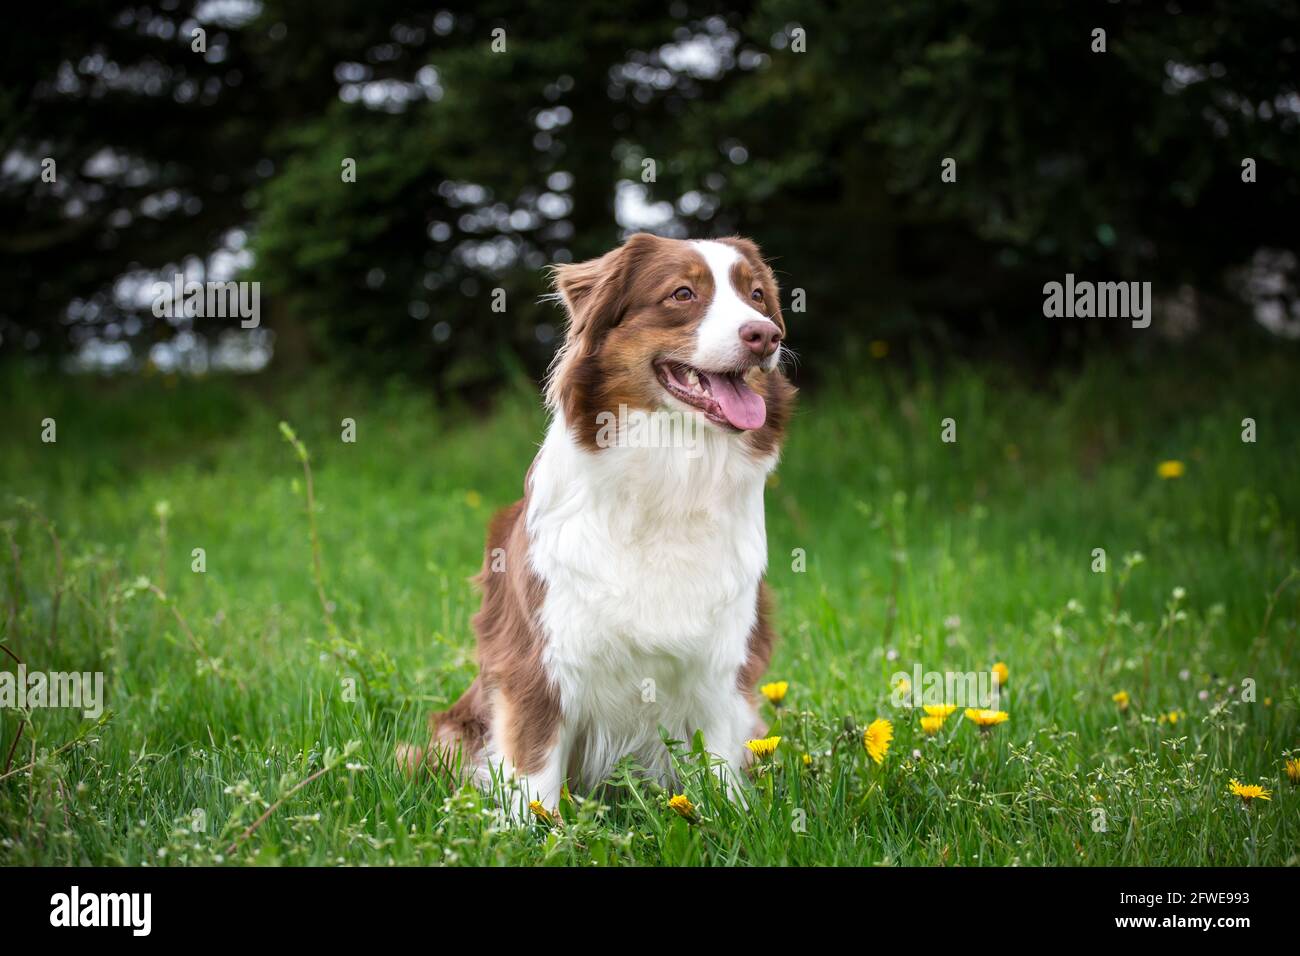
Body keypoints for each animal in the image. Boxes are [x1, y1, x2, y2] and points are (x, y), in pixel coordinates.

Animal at [395, 234, 795, 816]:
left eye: (757, 296)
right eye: (682, 294)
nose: (765, 335)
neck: (670, 472)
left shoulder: (726, 661)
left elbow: (721, 763)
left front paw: (731, 820)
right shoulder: (539, 657)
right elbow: (535, 773)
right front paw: (531, 827)